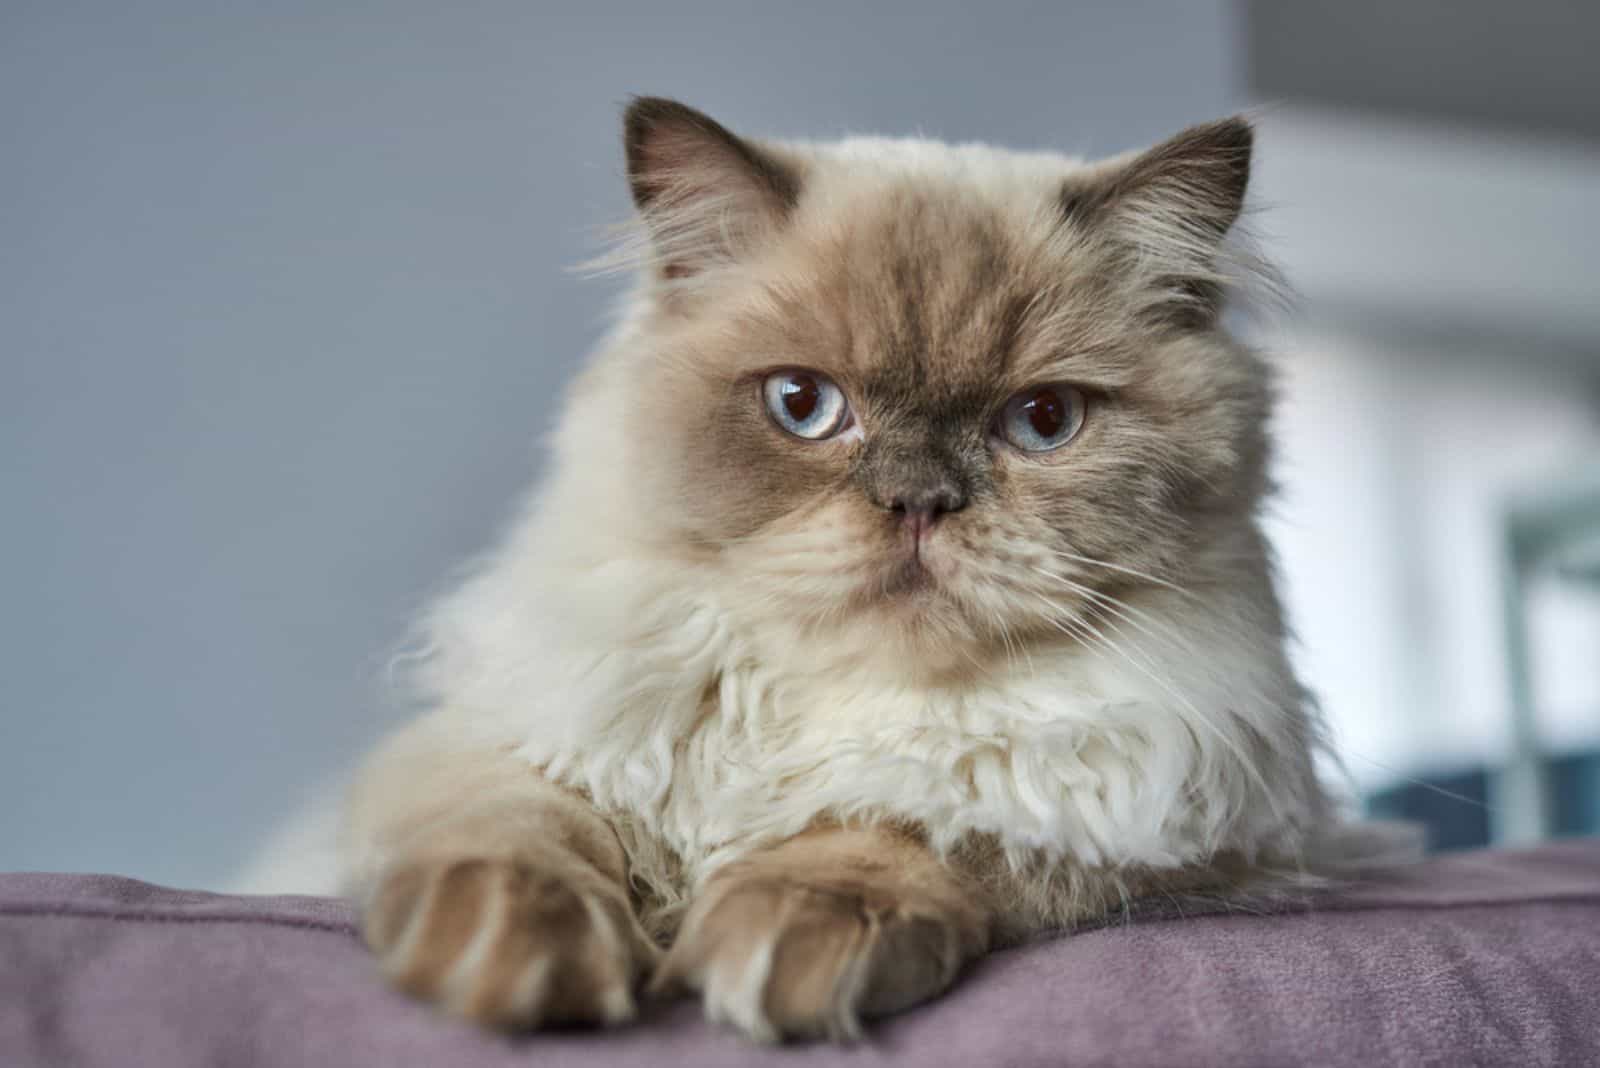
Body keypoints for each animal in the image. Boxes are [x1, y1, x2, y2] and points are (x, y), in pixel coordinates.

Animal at [347, 95, 1363, 1036]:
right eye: (803, 404)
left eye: (1043, 421)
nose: (918, 502)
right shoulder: (527, 729)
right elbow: (528, 821)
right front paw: (504, 952)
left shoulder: (1155, 813)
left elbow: (911, 817)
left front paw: (785, 943)